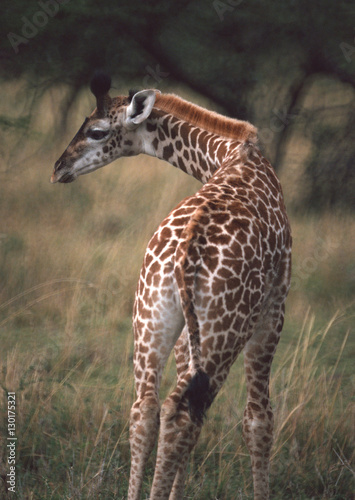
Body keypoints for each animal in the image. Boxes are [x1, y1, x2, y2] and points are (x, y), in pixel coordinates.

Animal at [52, 74, 292, 500]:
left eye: (96, 131)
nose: (58, 168)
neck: (232, 152)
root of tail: (184, 253)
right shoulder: (275, 303)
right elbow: (258, 419)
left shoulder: (185, 332)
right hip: (225, 328)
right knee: (183, 412)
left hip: (151, 315)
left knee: (147, 409)